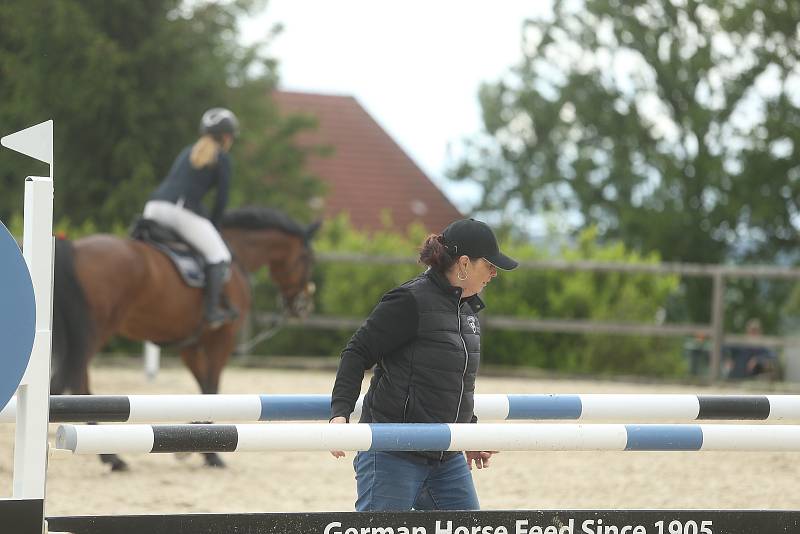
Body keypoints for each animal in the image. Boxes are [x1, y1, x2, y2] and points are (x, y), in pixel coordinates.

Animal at [48, 207, 318, 472]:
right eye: (307, 258)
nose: (302, 306)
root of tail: (73, 248)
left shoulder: (191, 346)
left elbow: (204, 391)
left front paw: (195, 444)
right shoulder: (222, 338)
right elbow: (212, 388)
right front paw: (209, 454)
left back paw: (108, 456)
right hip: (95, 331)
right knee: (76, 382)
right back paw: (112, 457)